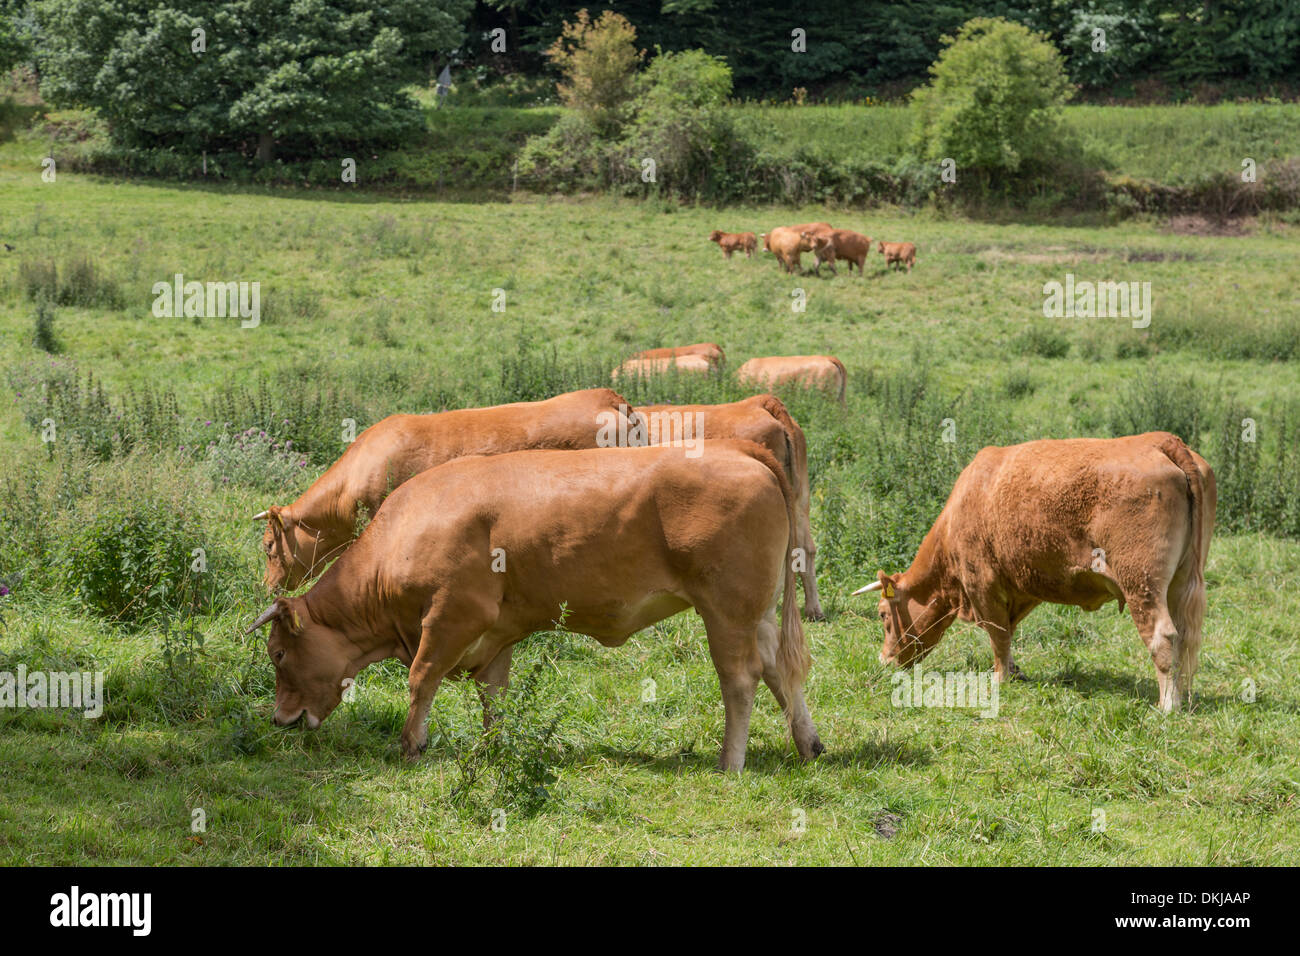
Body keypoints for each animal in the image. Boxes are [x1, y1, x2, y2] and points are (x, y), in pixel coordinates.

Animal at [247, 441, 823, 772]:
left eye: (278, 655)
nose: (279, 720)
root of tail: (741, 452)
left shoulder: (452, 617)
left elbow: (421, 678)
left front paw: (412, 745)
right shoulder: (497, 635)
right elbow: (494, 700)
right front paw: (490, 751)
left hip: (726, 612)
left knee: (741, 680)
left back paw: (730, 762)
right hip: (757, 614)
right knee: (781, 671)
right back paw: (808, 745)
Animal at [852, 432, 1215, 712]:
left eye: (883, 614)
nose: (883, 661)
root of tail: (1161, 440)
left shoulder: (981, 585)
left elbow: (997, 635)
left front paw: (1000, 679)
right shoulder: (1017, 588)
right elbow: (1008, 633)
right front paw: (1014, 672)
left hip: (1141, 581)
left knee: (1163, 636)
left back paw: (1167, 706)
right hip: (1180, 581)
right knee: (1184, 637)